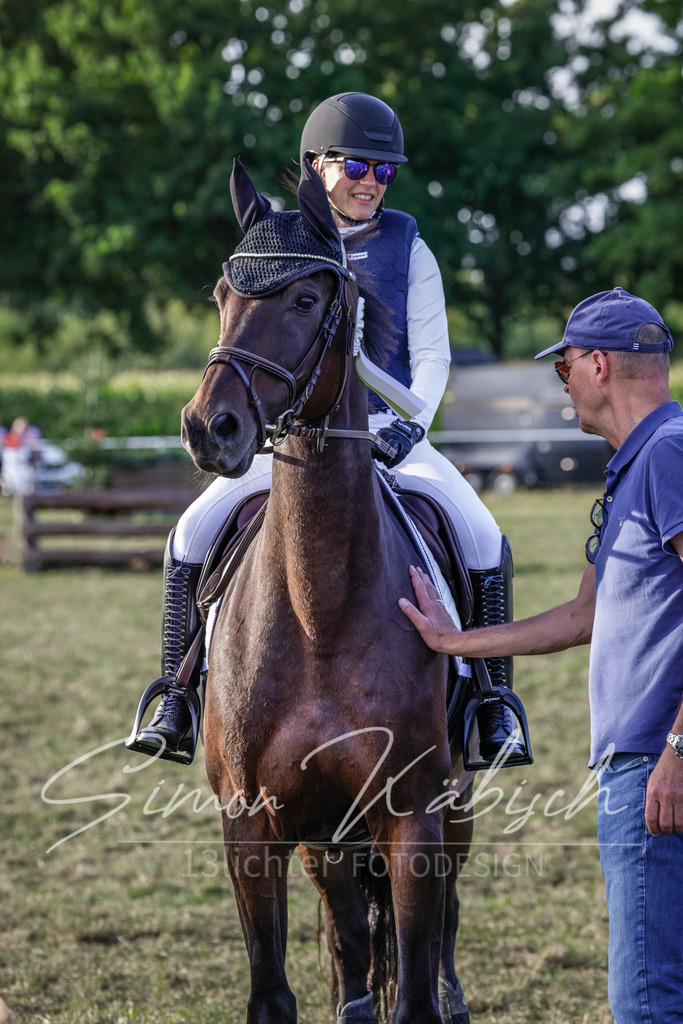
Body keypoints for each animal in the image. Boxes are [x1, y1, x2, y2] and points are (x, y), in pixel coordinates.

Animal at [181, 157, 474, 1024]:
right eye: (222, 294)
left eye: (306, 301)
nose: (209, 428)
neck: (319, 612)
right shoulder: (252, 825)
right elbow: (275, 990)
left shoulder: (413, 817)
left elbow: (415, 979)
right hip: (323, 833)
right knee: (347, 929)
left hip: (456, 805)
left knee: (444, 921)